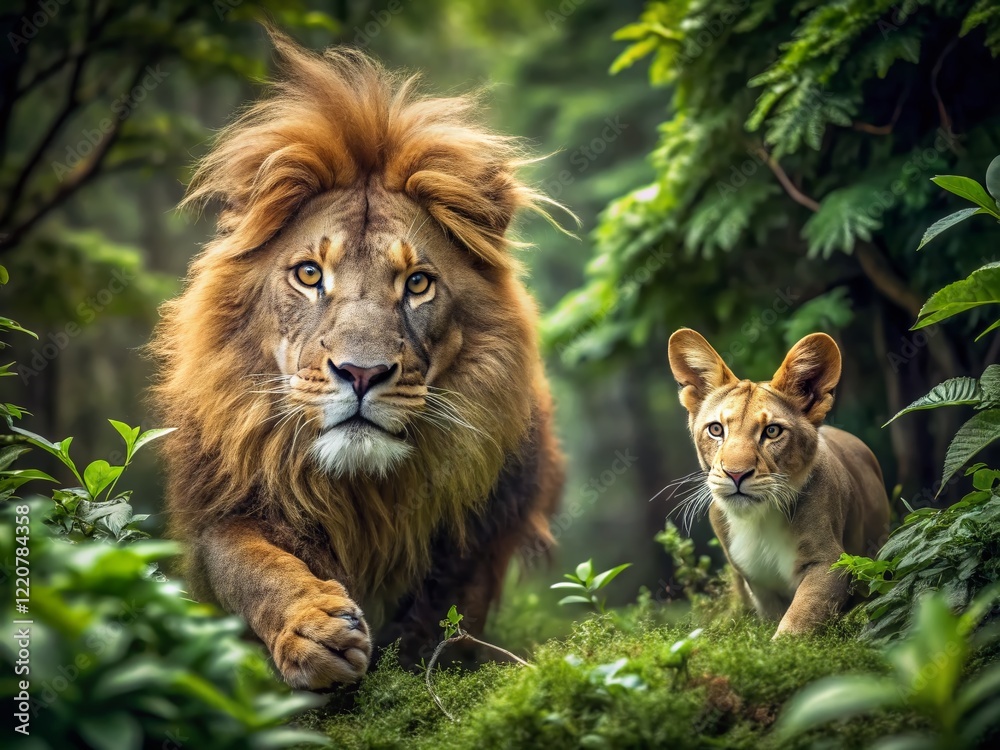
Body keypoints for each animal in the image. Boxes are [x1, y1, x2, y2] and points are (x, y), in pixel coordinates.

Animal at [150, 31, 565, 689]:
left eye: (418, 283)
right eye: (309, 274)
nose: (362, 374)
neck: (362, 495)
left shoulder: (481, 530)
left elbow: (444, 605)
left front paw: (417, 655)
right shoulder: (220, 509)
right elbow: (248, 562)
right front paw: (312, 629)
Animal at [667, 328, 890, 636]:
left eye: (772, 431)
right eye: (716, 430)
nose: (736, 474)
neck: (757, 521)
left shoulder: (831, 563)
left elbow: (797, 621)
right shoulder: (757, 584)